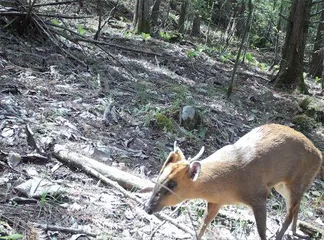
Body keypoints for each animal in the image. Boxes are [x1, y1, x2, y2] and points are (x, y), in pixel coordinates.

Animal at [146, 124, 322, 239]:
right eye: (159, 177)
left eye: (172, 184)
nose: (148, 208)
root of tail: (319, 156)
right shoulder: (215, 202)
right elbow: (202, 226)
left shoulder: (259, 194)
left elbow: (261, 232)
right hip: (283, 185)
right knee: (296, 207)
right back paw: (293, 232)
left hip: (296, 181)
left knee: (290, 212)